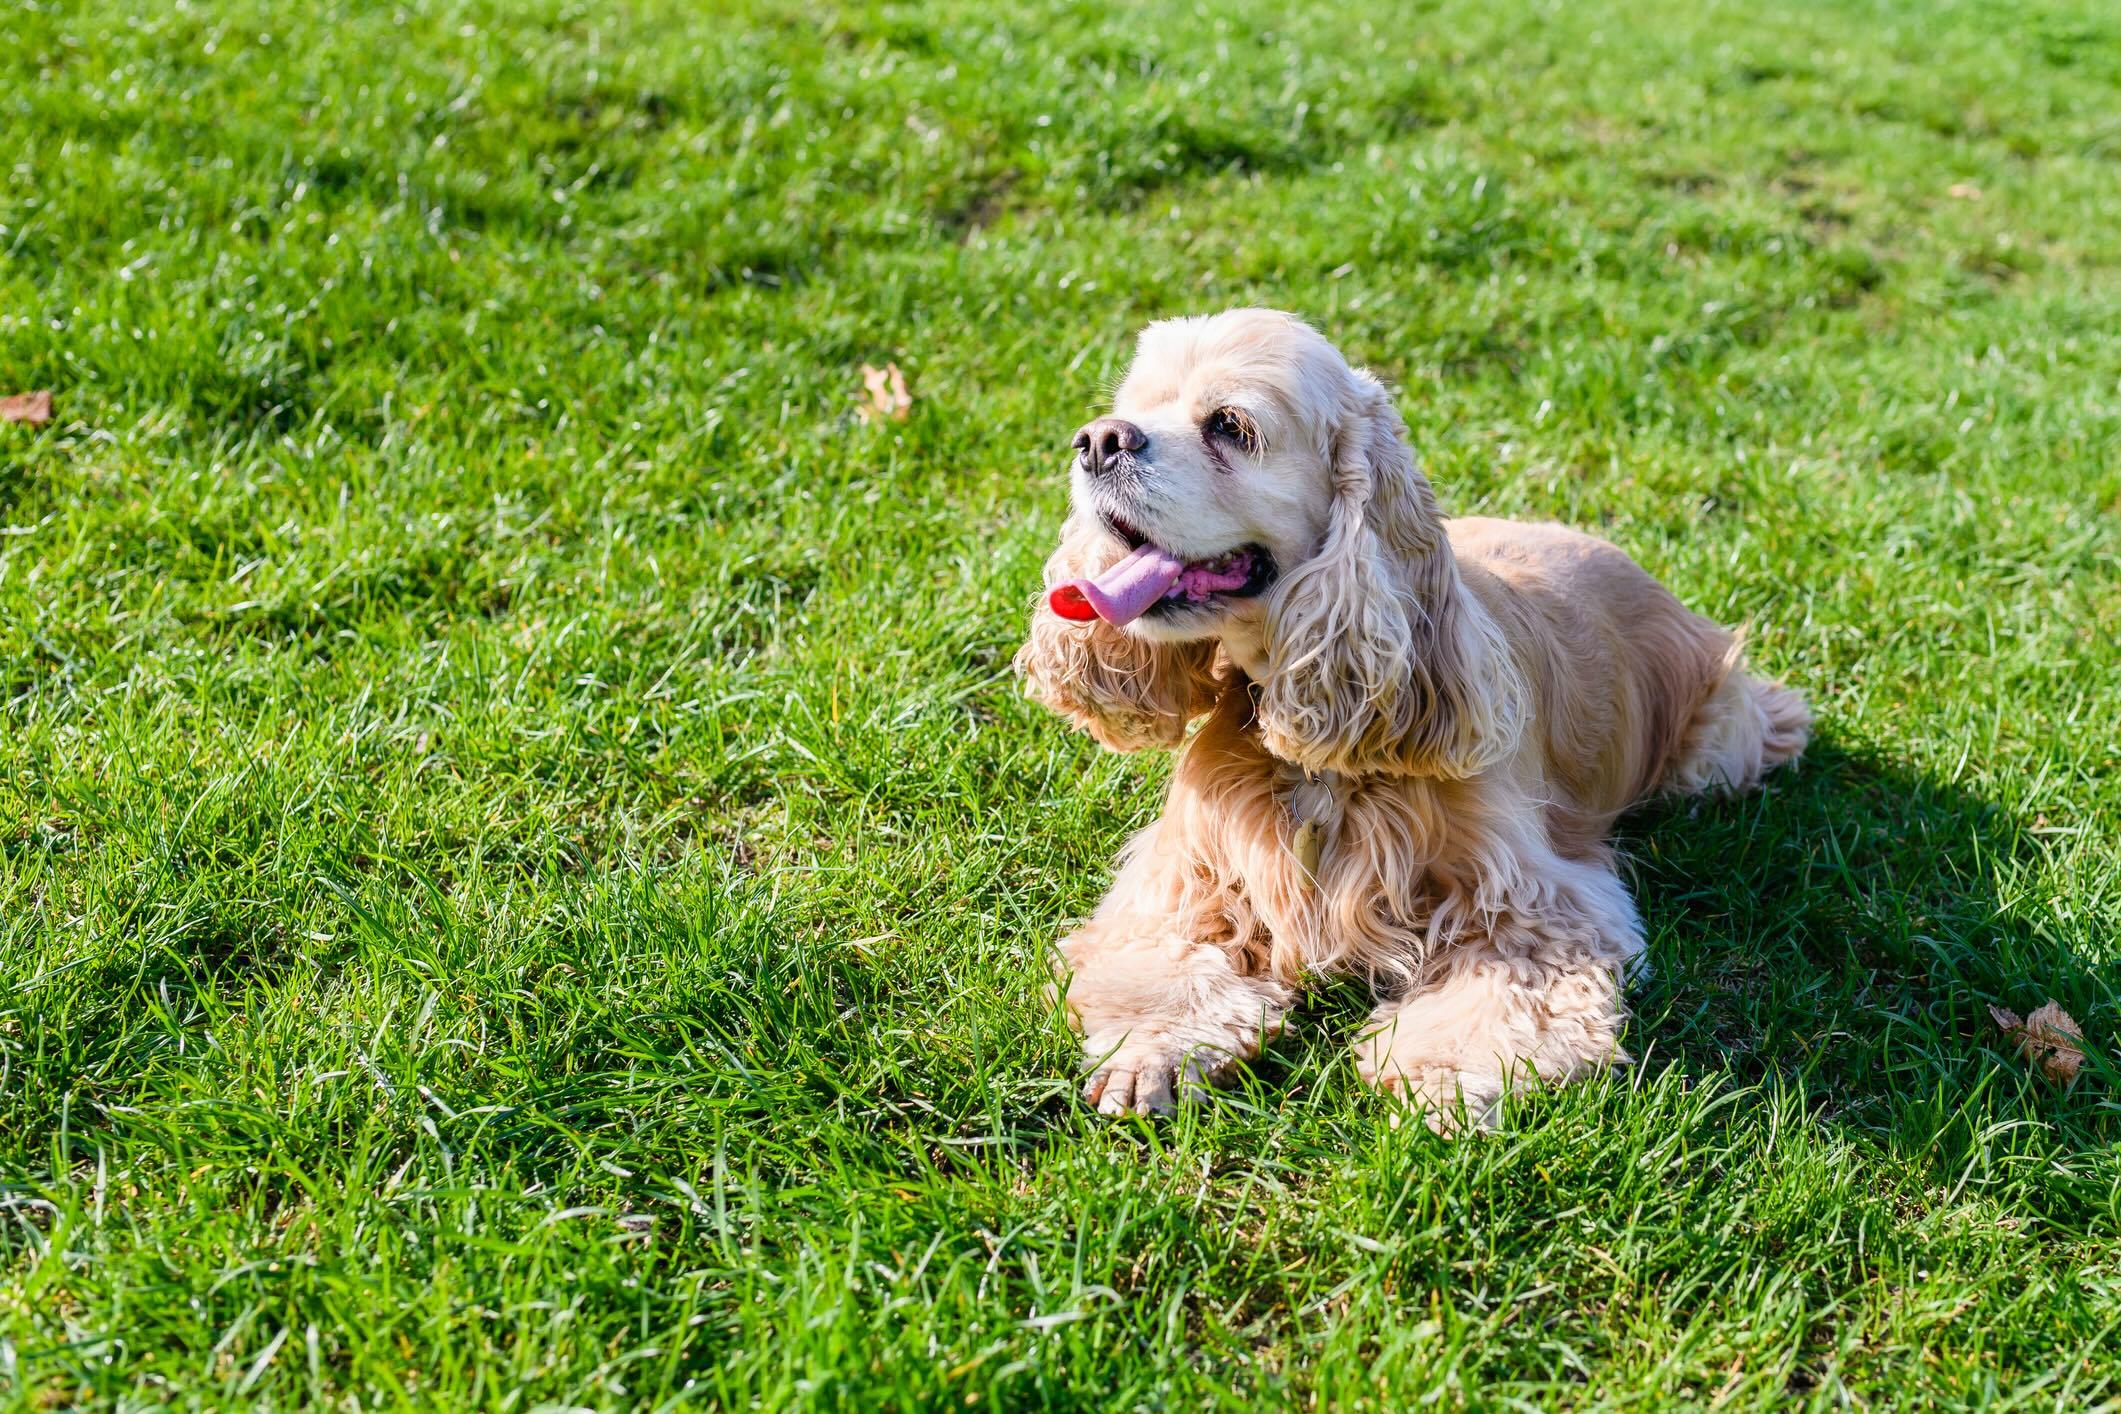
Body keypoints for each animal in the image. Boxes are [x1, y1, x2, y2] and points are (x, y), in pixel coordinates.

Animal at [1009, 307, 1807, 1127]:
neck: (1319, 759)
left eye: (1230, 425)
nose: (1098, 439)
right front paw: (1148, 1052)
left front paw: (1443, 1077)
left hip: (1720, 739)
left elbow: (1495, 997)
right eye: (1132, 408)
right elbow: (1166, 961)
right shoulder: (1184, 876)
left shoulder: (1538, 904)